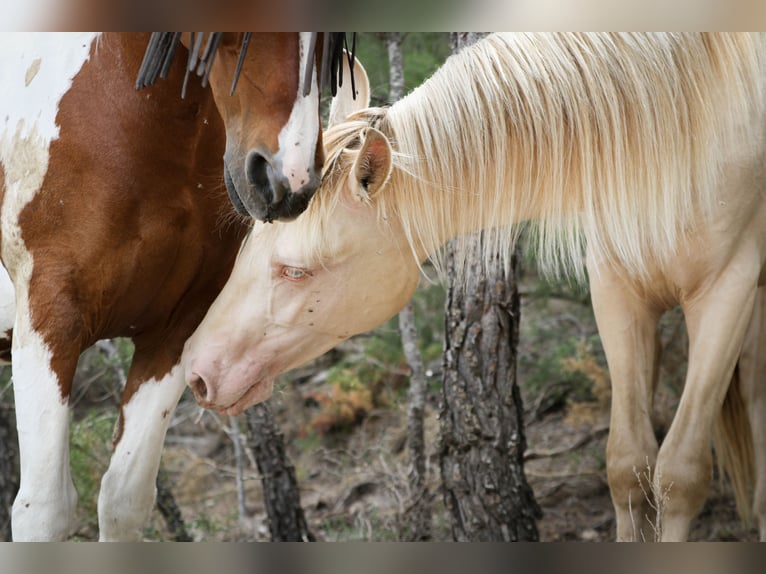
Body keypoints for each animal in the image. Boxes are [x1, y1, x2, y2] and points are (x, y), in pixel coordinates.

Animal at [182, 33, 766, 541]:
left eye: (296, 271)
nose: (196, 372)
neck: (678, 120)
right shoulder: (617, 289)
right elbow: (628, 468)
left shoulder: (728, 289)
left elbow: (680, 474)